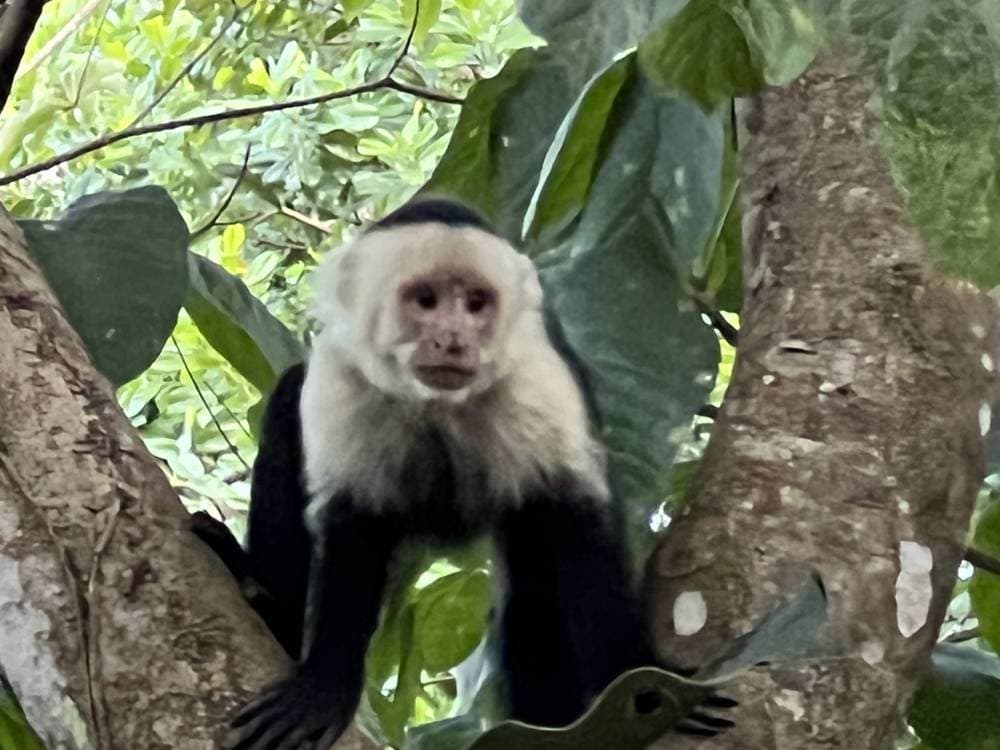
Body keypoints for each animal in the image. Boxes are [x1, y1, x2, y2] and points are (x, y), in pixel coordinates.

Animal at [192, 198, 733, 749]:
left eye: (476, 304)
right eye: (427, 300)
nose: (453, 340)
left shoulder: (536, 379)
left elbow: (578, 523)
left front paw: (640, 684)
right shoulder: (342, 376)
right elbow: (351, 526)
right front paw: (323, 686)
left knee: (535, 592)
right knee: (286, 406)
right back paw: (265, 602)